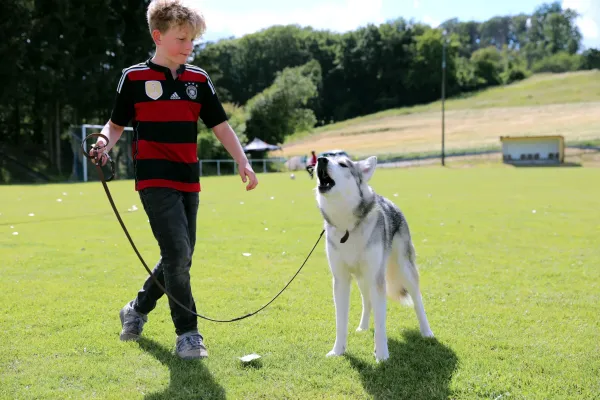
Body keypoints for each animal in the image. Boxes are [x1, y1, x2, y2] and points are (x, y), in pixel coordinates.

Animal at [314, 155, 436, 362]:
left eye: (343, 164)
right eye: (326, 156)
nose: (321, 159)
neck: (347, 227)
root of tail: (389, 201)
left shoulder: (378, 280)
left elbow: (380, 324)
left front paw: (382, 355)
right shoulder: (341, 280)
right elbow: (341, 322)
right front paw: (338, 351)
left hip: (404, 271)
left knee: (418, 301)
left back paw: (426, 332)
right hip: (362, 279)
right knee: (367, 301)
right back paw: (363, 327)